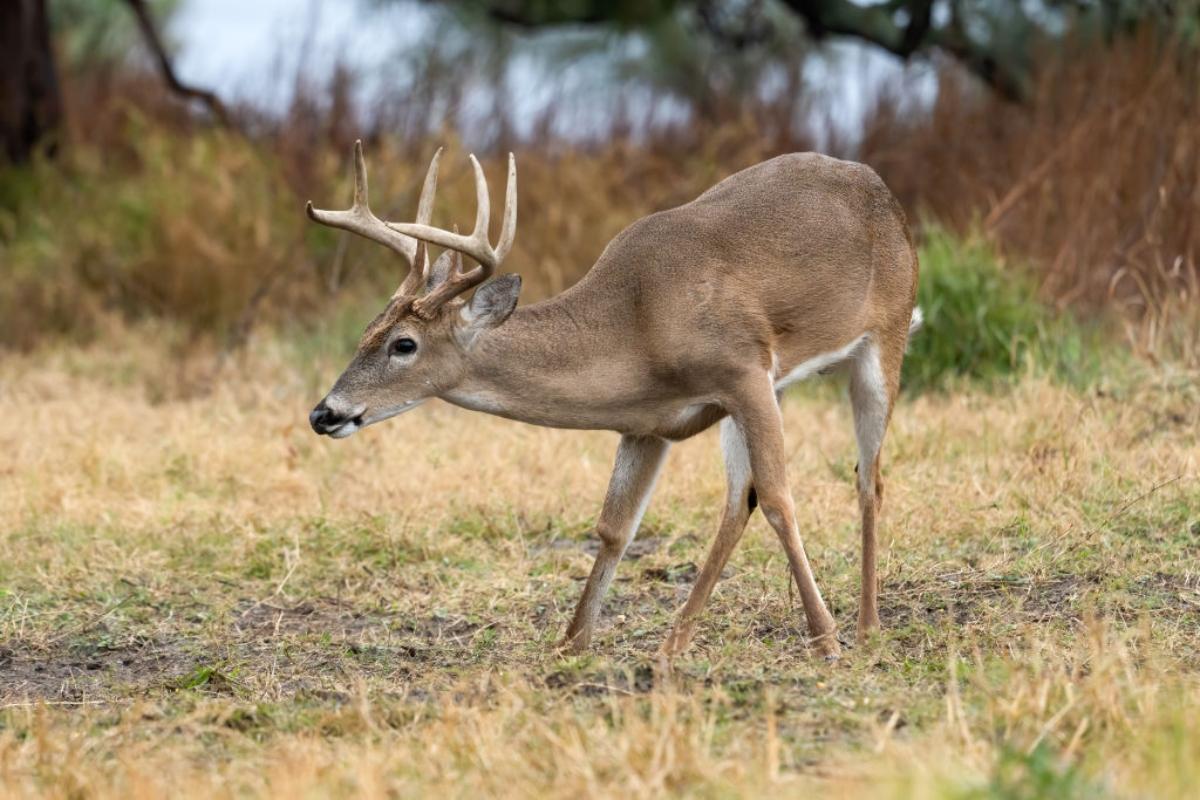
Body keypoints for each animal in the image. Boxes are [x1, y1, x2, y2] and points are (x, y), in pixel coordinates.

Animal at [307, 140, 916, 662]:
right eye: (366, 331)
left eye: (403, 344)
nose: (324, 413)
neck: (636, 325)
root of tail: (883, 190)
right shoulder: (649, 423)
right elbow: (615, 527)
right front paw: (572, 641)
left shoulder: (743, 370)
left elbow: (780, 500)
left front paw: (825, 640)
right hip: (778, 389)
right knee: (736, 500)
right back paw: (675, 640)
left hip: (884, 337)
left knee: (867, 478)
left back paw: (866, 627)